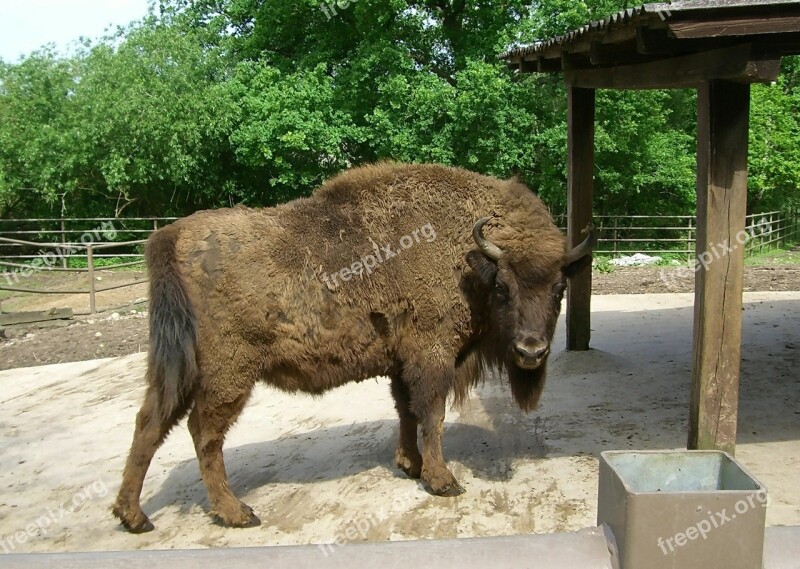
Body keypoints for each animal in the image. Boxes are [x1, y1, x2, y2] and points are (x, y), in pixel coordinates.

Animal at [112, 161, 592, 532]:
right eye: (503, 288)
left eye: (559, 289)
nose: (531, 352)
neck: (467, 260)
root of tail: (171, 236)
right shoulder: (431, 356)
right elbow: (432, 415)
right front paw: (443, 481)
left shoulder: (401, 363)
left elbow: (407, 411)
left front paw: (409, 465)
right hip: (228, 374)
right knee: (203, 433)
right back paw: (237, 513)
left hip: (177, 368)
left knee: (149, 424)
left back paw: (133, 517)